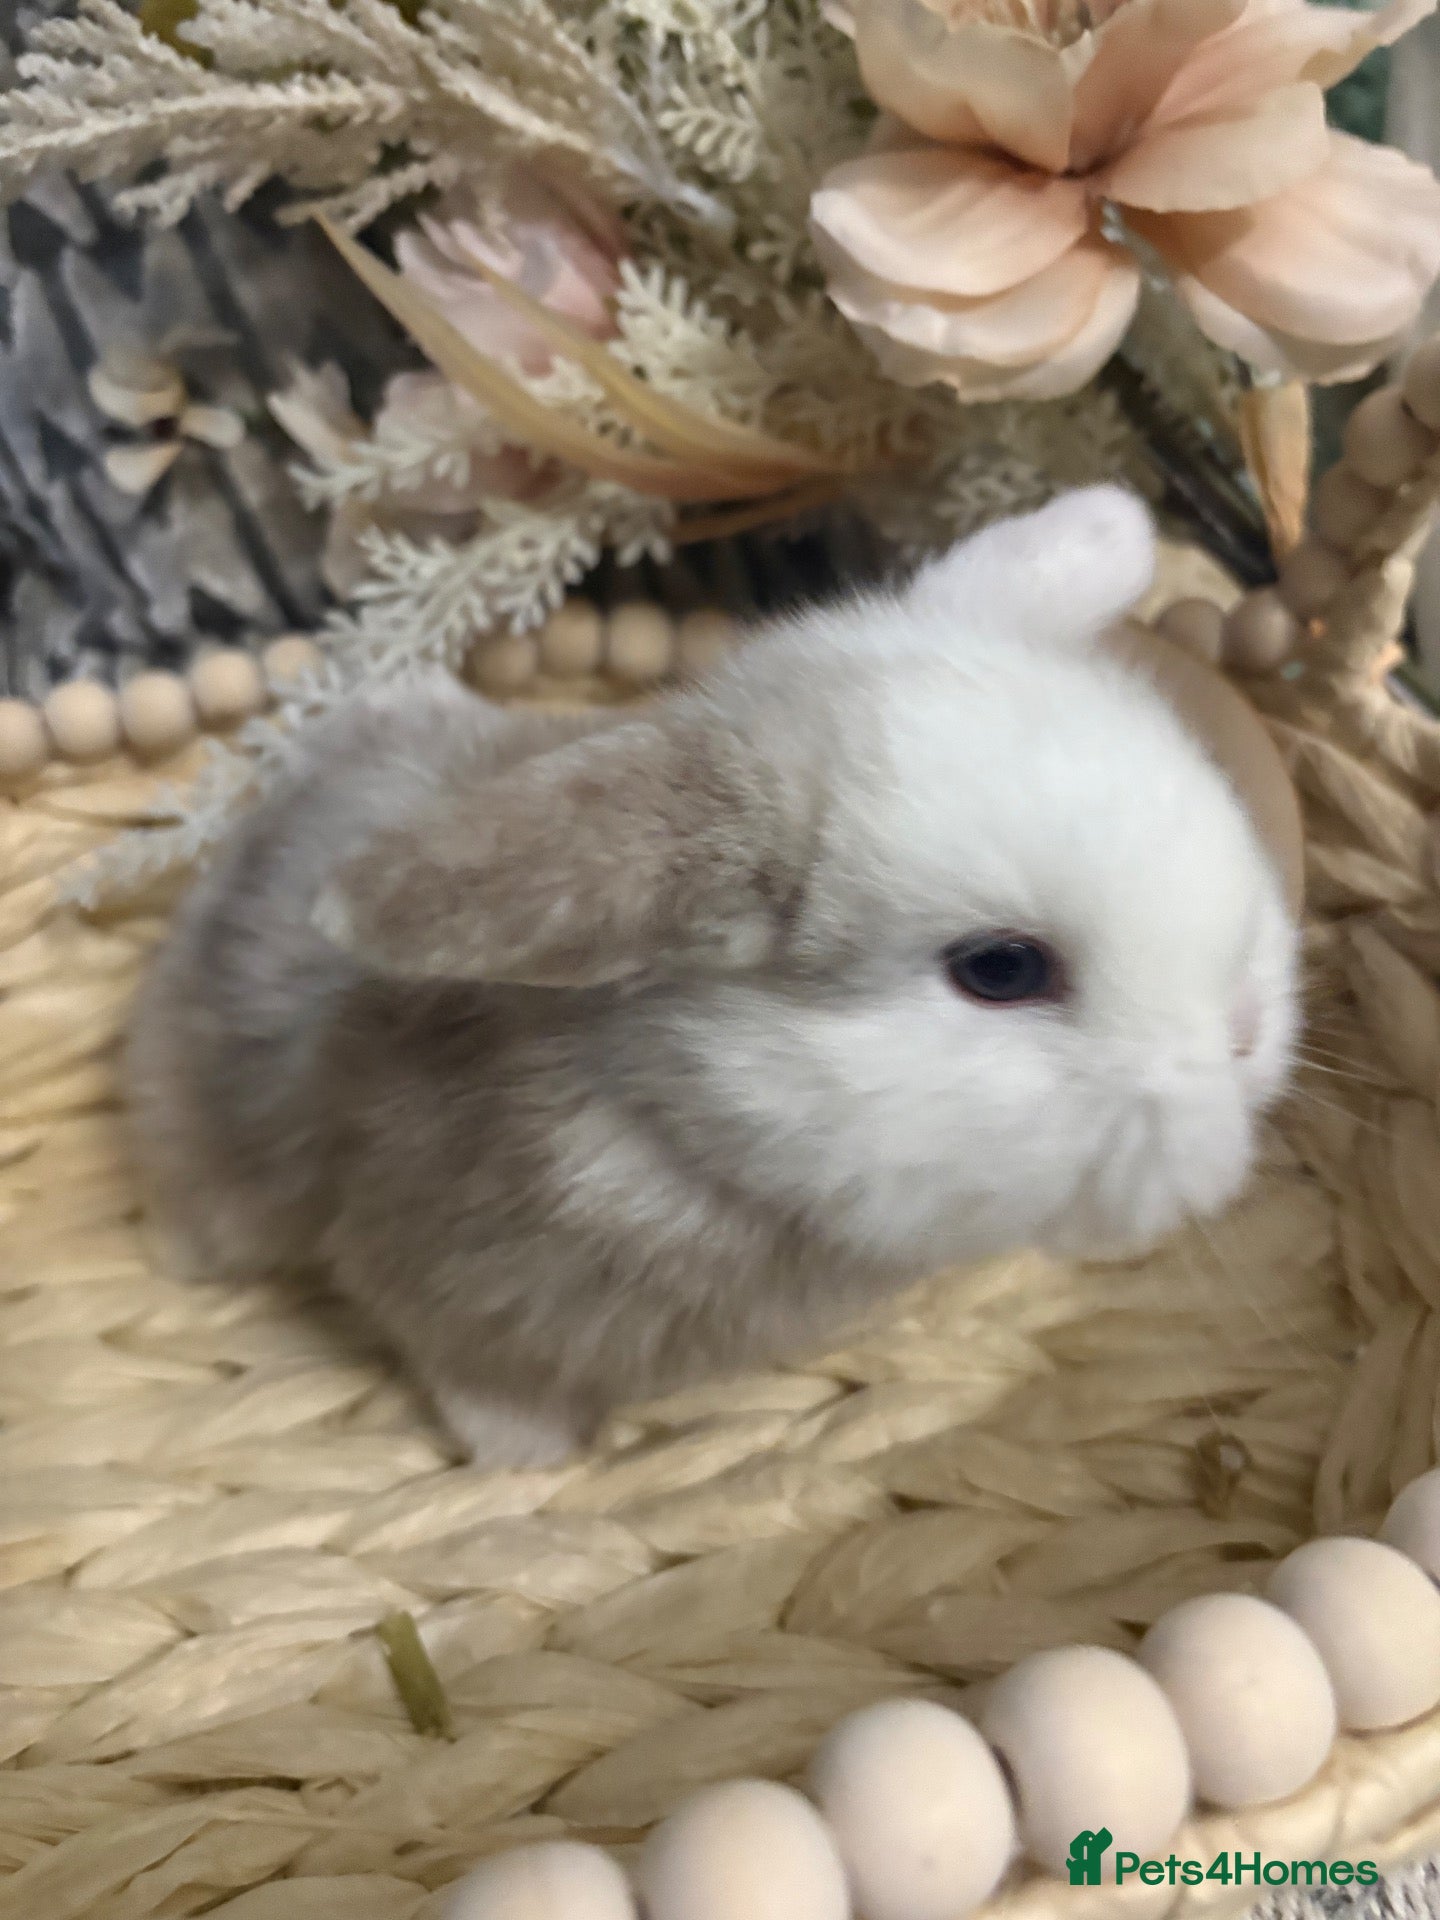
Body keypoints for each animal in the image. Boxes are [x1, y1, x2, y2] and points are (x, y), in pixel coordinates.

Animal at [126, 487, 1298, 1467]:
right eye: (1002, 968)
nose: (1244, 1032)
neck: (682, 1121)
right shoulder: (438, 1281)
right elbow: (476, 1378)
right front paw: (532, 1464)